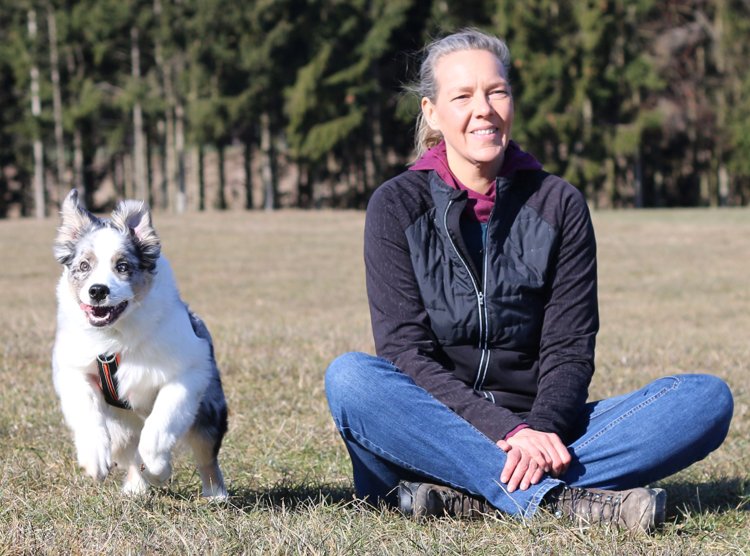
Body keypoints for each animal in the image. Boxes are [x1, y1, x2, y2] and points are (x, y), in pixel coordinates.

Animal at [51, 189, 228, 498]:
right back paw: (135, 488)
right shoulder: (73, 368)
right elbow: (86, 409)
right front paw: (94, 459)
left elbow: (160, 424)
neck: (115, 338)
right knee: (128, 453)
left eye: (122, 266)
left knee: (206, 452)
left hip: (209, 409)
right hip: (121, 429)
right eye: (84, 266)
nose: (98, 291)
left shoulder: (190, 371)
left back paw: (215, 494)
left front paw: (159, 468)